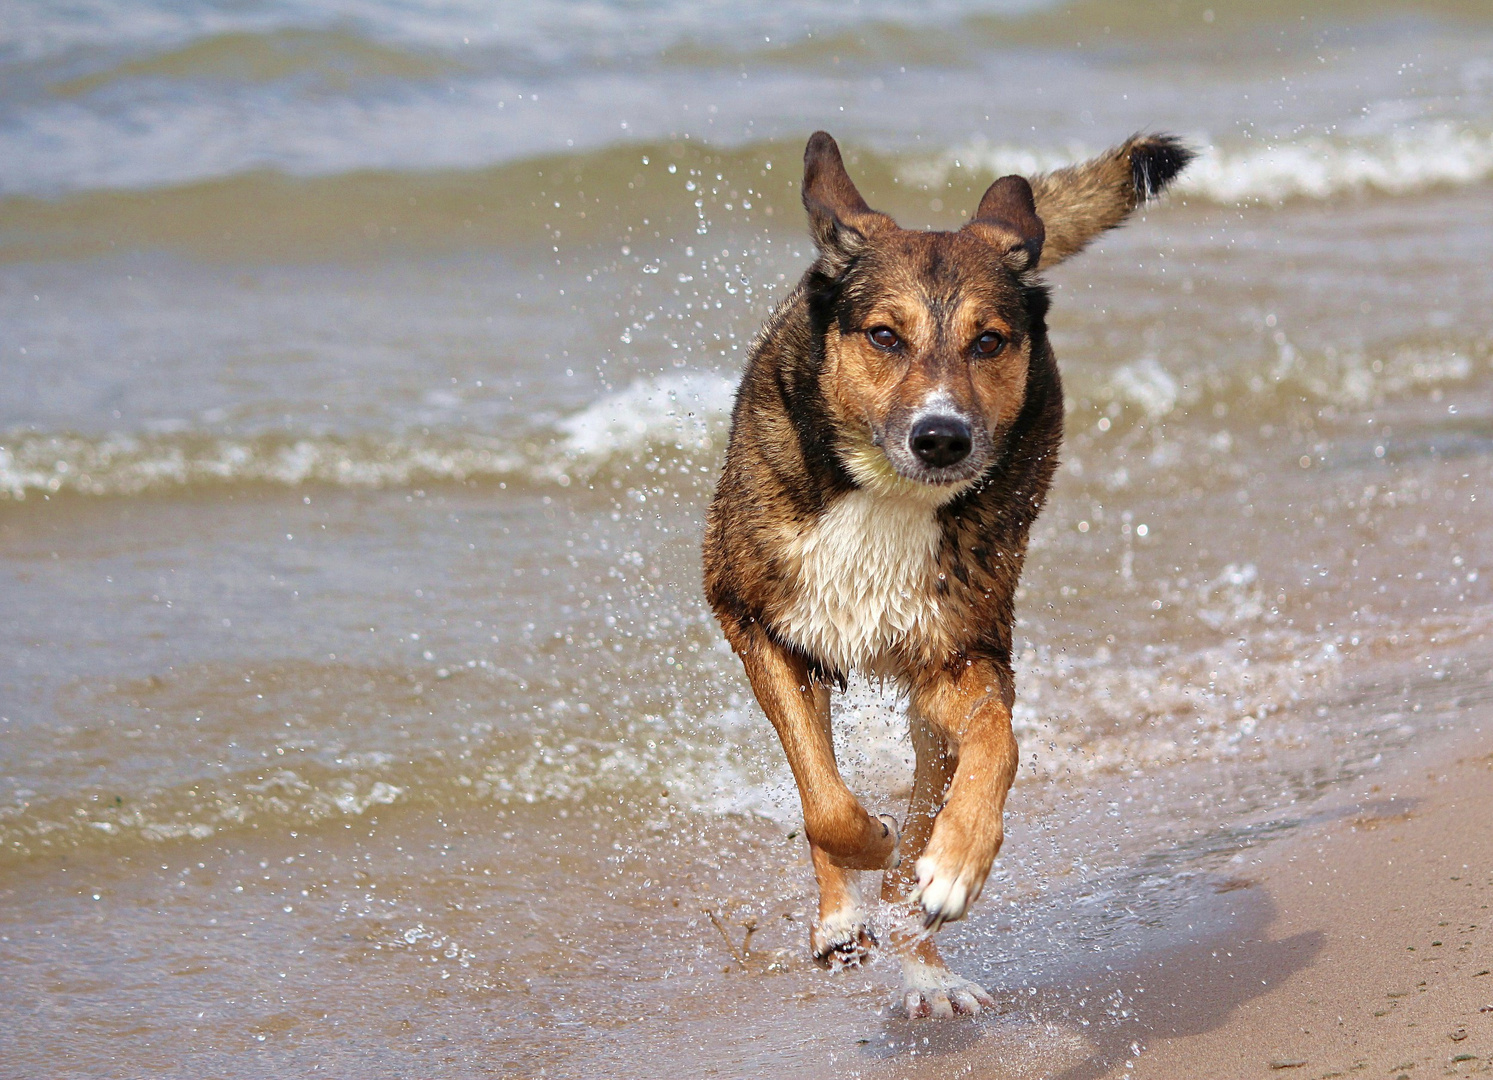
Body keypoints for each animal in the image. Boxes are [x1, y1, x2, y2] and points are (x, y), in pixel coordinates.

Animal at [704, 130, 1194, 1015]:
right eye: (883, 336)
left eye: (988, 341)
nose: (940, 438)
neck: (885, 494)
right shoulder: (758, 623)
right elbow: (825, 805)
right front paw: (861, 854)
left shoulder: (958, 653)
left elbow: (996, 742)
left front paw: (954, 867)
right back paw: (846, 915)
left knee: (928, 802)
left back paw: (923, 950)